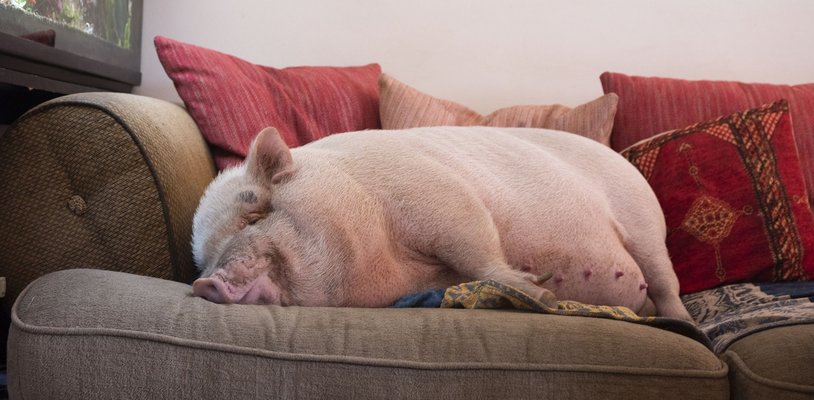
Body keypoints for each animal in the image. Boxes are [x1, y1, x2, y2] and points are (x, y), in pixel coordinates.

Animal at [191, 125, 692, 321]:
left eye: (255, 214)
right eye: (204, 256)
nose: (204, 284)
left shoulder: (443, 198)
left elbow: (479, 254)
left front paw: (541, 292)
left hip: (646, 225)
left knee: (666, 283)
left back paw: (686, 323)